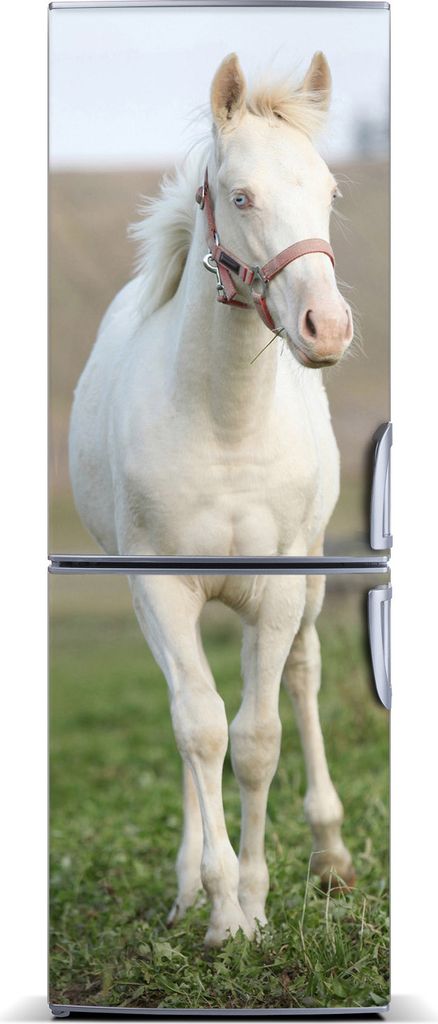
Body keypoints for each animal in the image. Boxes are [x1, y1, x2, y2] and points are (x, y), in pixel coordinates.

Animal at [69, 51, 355, 947]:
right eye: (240, 196)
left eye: (329, 191)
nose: (326, 328)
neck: (226, 426)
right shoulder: (162, 589)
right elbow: (198, 727)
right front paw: (222, 906)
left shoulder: (276, 591)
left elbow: (257, 737)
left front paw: (258, 902)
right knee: (184, 710)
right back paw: (190, 882)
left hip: (313, 580)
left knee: (302, 677)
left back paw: (330, 855)